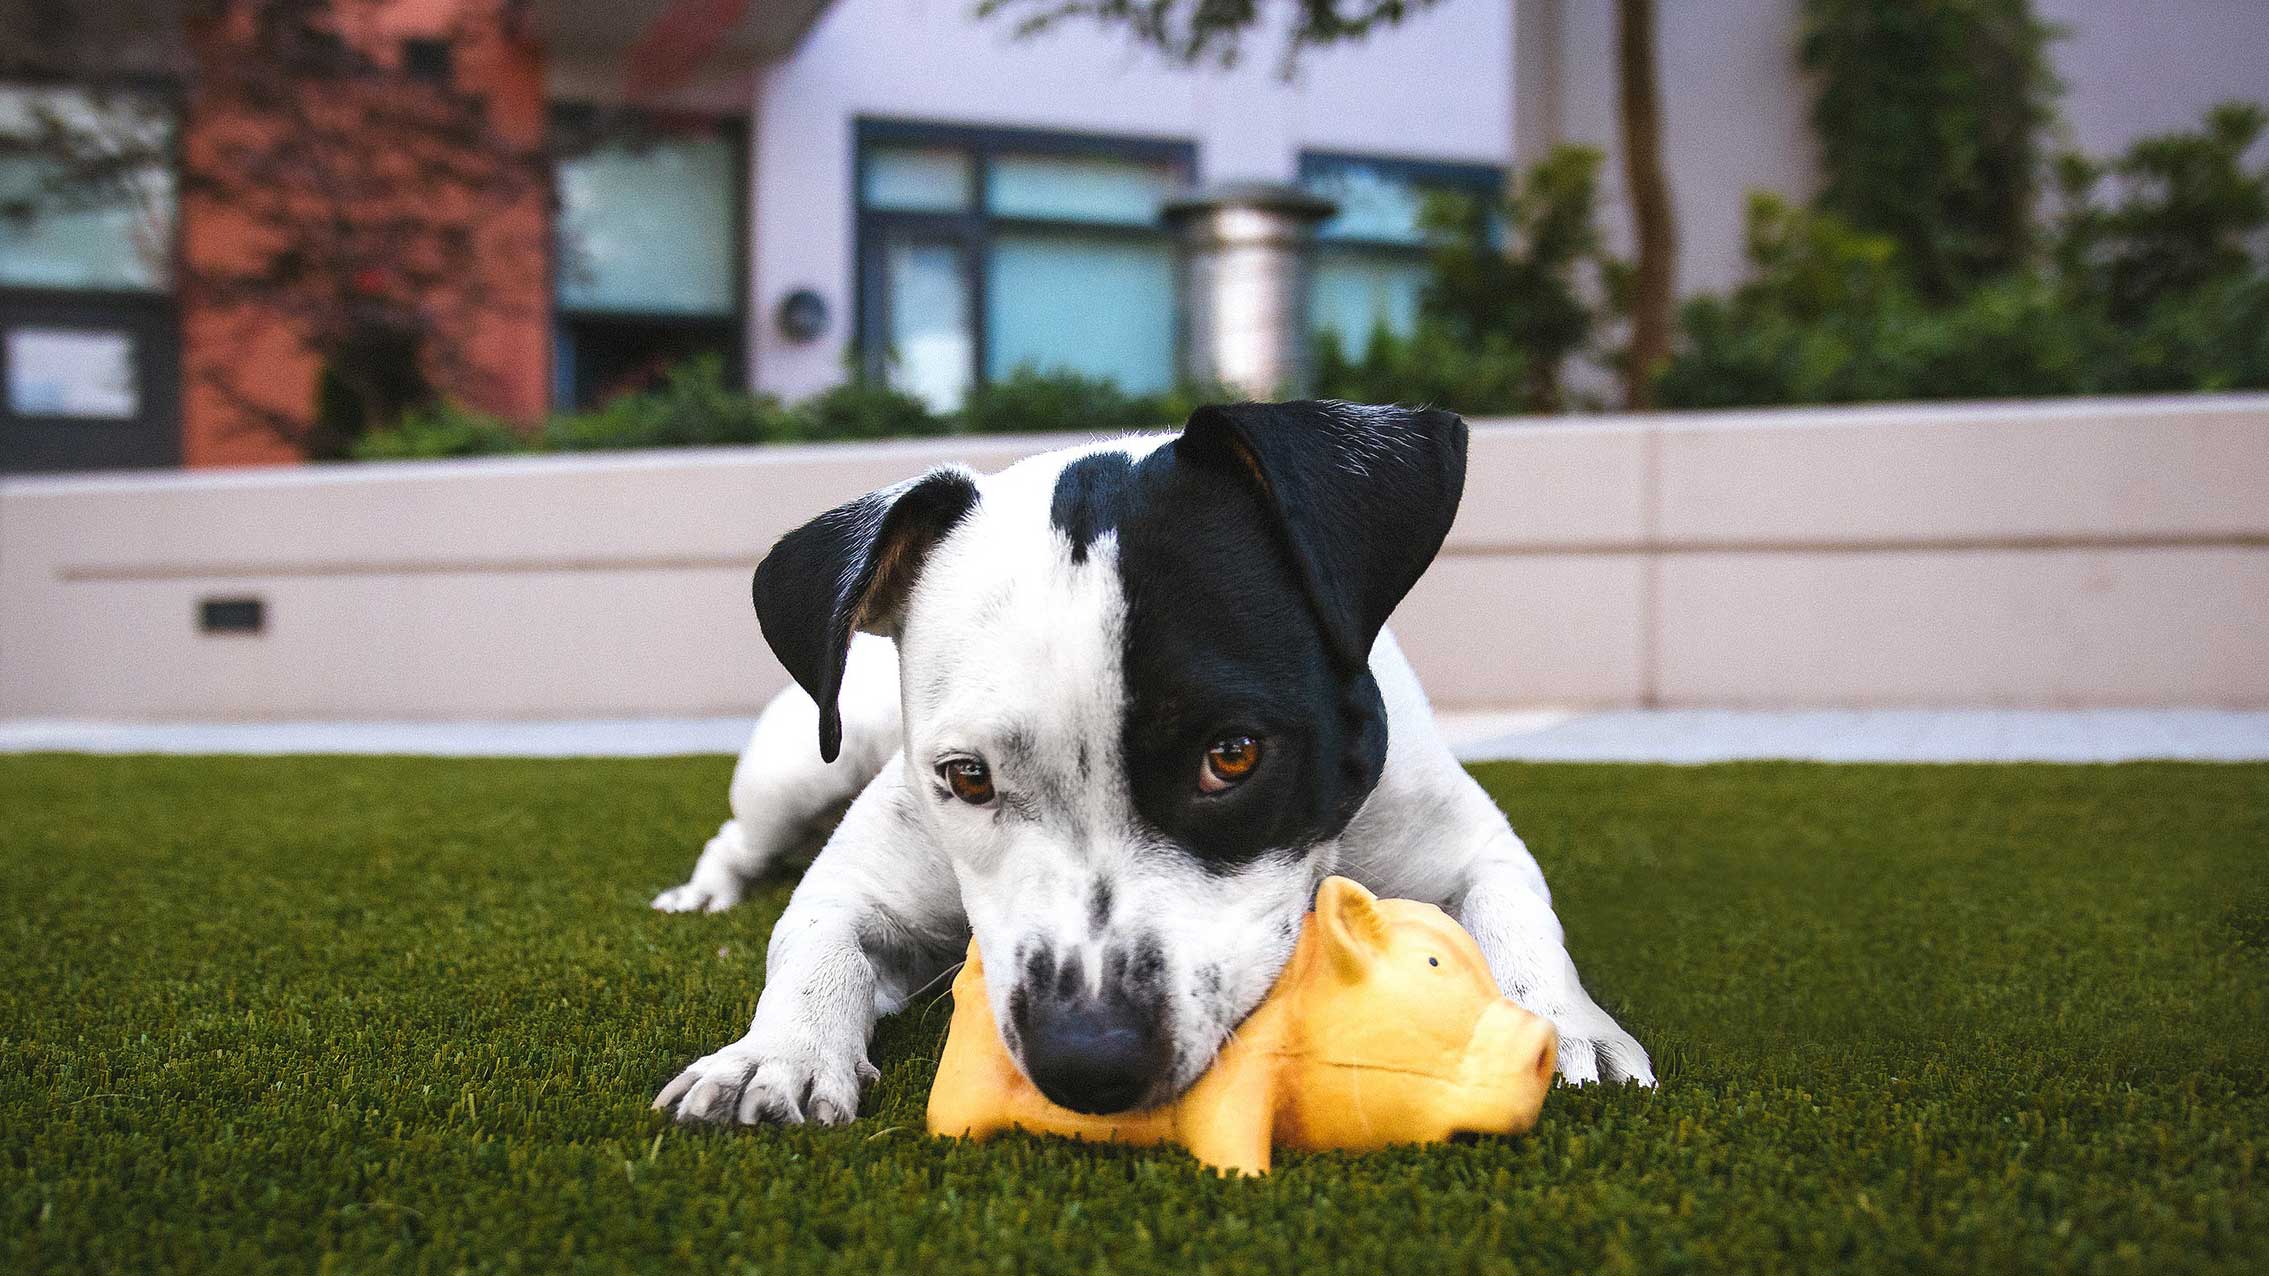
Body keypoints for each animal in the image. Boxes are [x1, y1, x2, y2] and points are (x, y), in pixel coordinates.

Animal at [653, 399, 1651, 1121]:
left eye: (1232, 756)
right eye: (966, 777)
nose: (1087, 1061)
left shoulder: (1469, 845)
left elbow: (1518, 917)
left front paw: (1561, 1023)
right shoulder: (863, 883)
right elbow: (814, 941)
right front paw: (773, 1054)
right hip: (801, 767)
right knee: (738, 838)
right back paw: (703, 894)